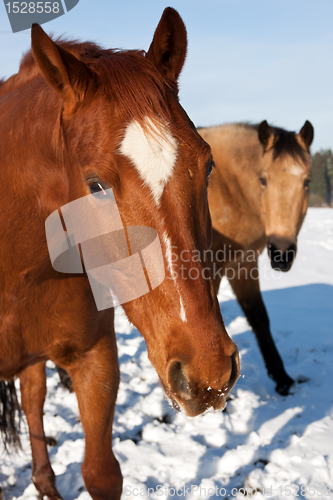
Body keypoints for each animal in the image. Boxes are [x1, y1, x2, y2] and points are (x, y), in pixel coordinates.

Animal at [197, 120, 312, 394]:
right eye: (263, 180)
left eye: (307, 181)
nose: (282, 253)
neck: (227, 191)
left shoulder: (243, 264)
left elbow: (259, 317)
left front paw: (282, 378)